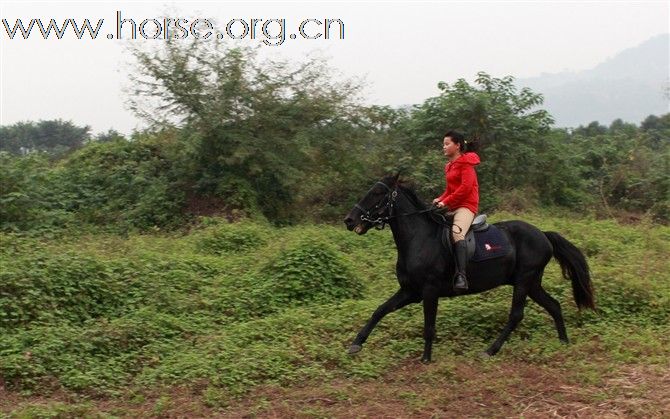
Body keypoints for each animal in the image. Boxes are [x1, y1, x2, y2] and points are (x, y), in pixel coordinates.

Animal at [344, 176, 596, 362]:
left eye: (377, 194)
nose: (349, 220)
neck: (419, 239)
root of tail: (543, 234)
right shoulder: (410, 291)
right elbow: (380, 310)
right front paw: (356, 344)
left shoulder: (429, 290)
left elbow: (429, 325)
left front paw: (426, 359)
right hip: (532, 282)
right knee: (553, 305)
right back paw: (563, 342)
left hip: (525, 280)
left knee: (516, 315)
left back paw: (490, 350)